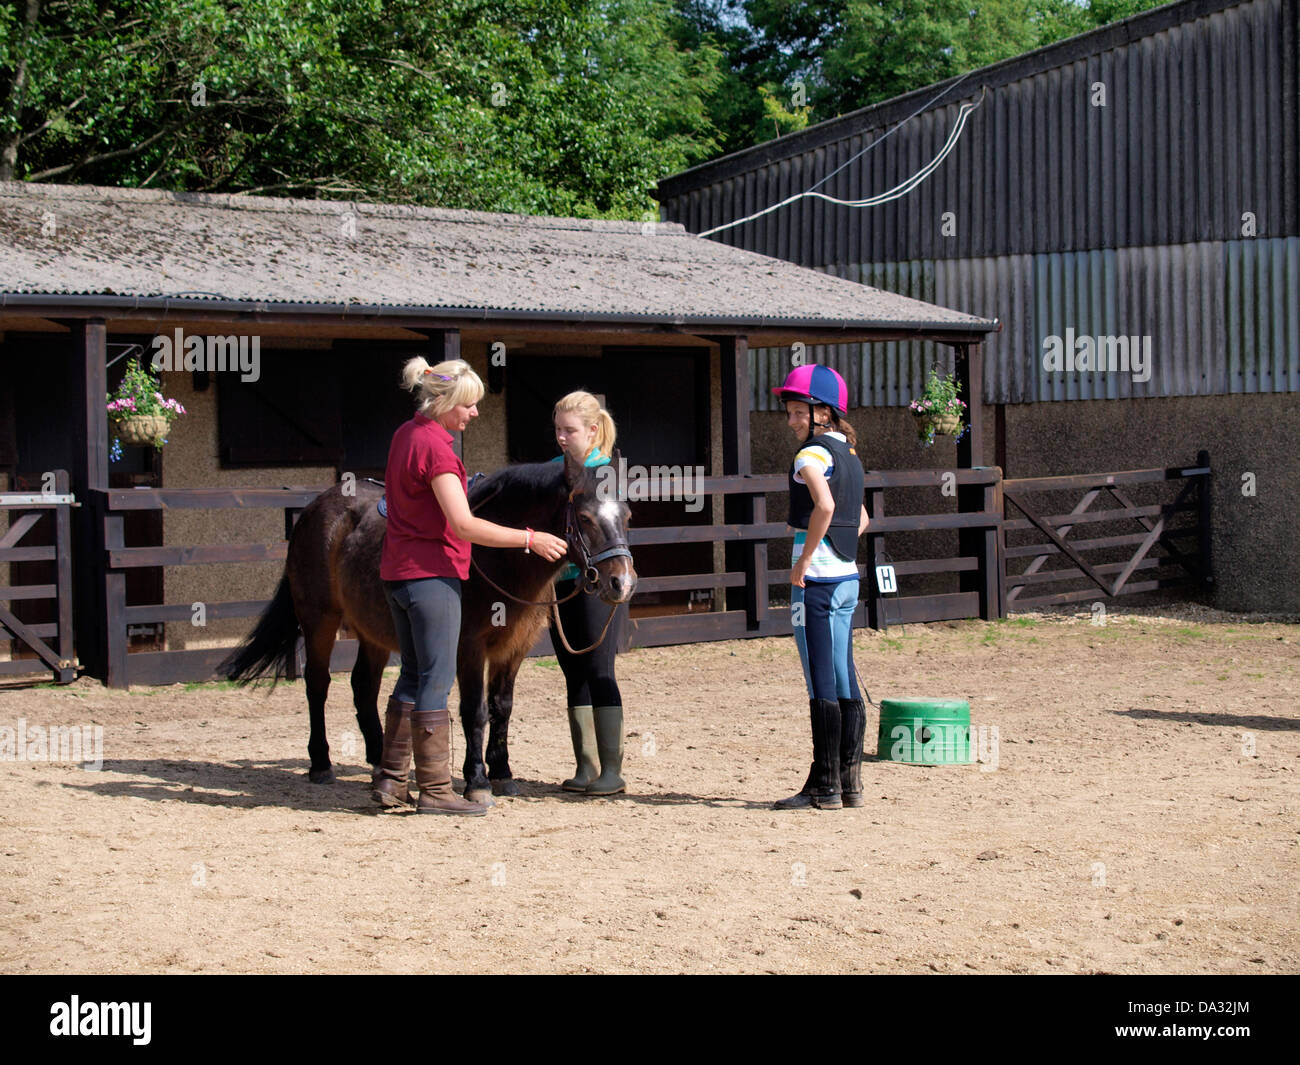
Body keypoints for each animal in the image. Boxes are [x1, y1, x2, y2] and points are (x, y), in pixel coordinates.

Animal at [219, 452, 635, 802]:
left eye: (627, 516)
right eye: (585, 518)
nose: (622, 583)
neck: (493, 554)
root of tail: (313, 509)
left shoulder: (513, 648)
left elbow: (501, 708)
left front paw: (502, 772)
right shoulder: (469, 646)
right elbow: (475, 710)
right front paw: (477, 781)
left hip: (372, 631)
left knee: (363, 687)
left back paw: (381, 763)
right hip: (319, 620)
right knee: (318, 685)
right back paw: (321, 764)